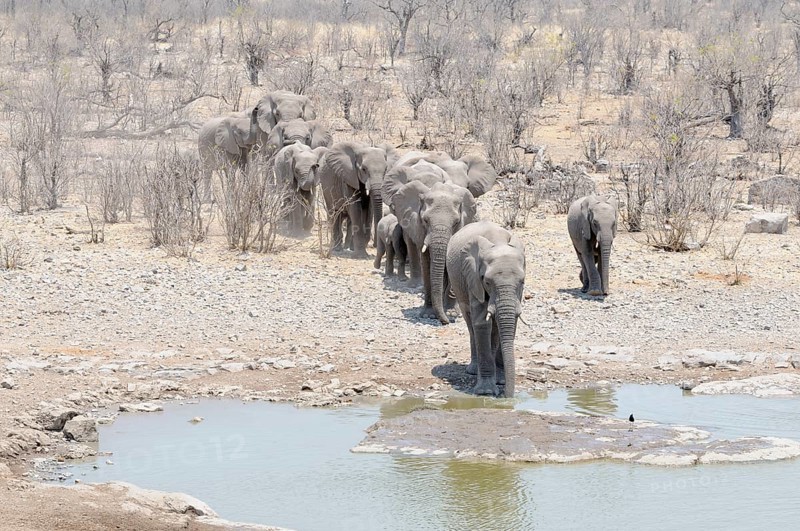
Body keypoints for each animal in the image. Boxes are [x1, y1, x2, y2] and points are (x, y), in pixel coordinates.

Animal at [390, 178, 477, 324]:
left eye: (456, 222)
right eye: (425, 220)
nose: (446, 322)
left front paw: (451, 313)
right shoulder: (420, 230)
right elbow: (426, 266)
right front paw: (428, 316)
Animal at [446, 221, 526, 397]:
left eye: (522, 281)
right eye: (487, 282)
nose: (508, 398)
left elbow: (505, 324)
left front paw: (501, 382)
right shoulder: (473, 277)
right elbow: (482, 323)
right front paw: (486, 392)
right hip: (459, 286)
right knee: (471, 324)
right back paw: (473, 371)